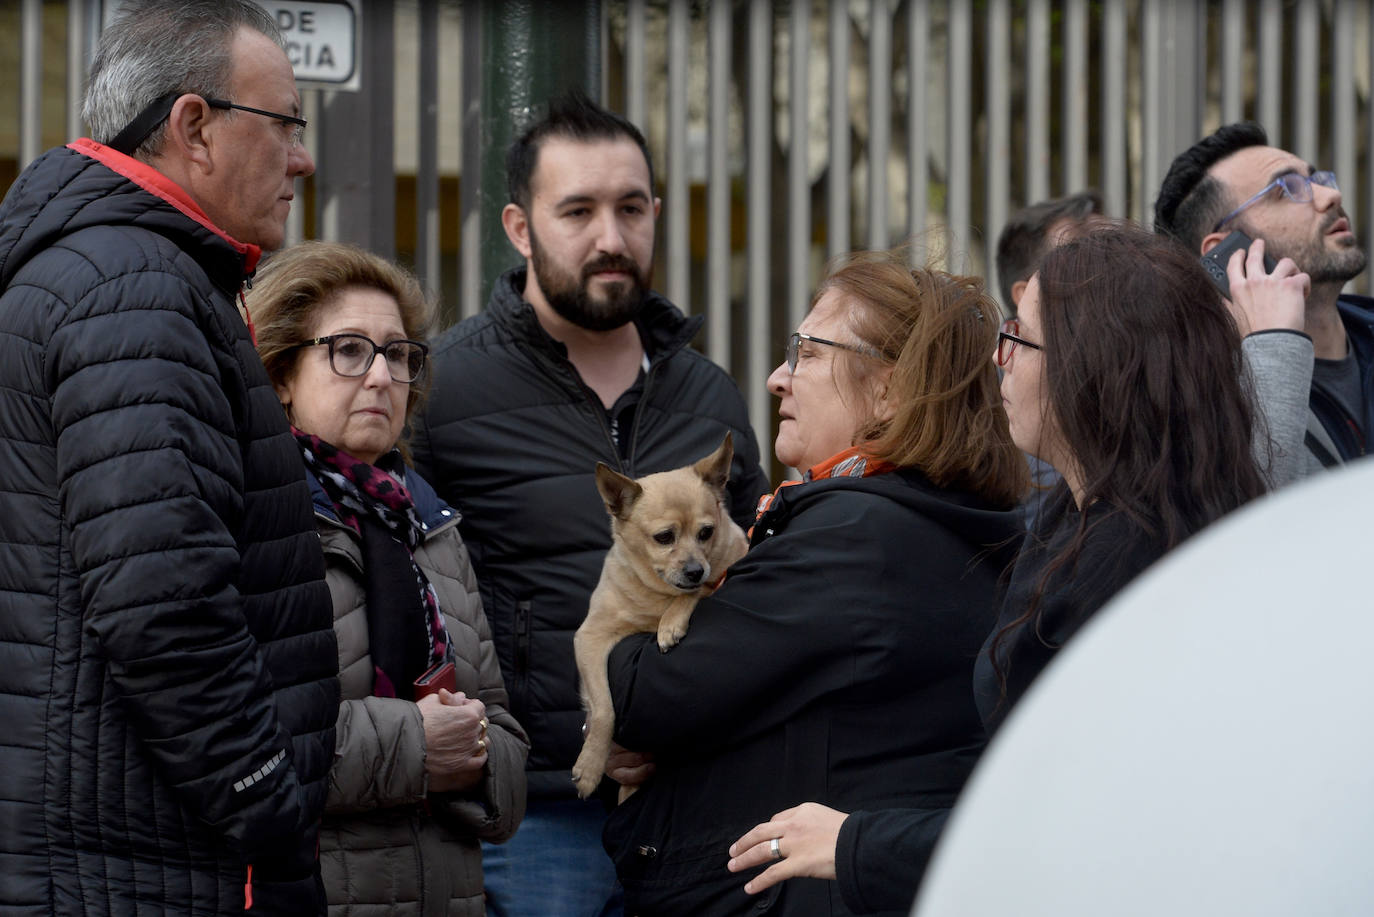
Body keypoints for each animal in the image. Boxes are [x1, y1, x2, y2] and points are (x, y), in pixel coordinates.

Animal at [574, 434, 758, 797]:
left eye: (706, 532)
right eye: (663, 538)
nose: (694, 570)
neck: (659, 595)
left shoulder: (715, 574)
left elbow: (697, 592)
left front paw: (671, 623)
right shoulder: (590, 638)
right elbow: (603, 709)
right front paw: (590, 766)